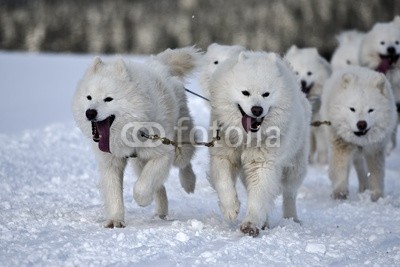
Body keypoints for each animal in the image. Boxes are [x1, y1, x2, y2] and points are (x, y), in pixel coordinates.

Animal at [71, 47, 199, 227]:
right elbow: (114, 194)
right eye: (89, 97)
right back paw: (161, 212)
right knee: (160, 186)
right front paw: (115, 221)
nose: (90, 113)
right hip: (139, 162)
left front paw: (142, 200)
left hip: (177, 147)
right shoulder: (111, 163)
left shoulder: (162, 153)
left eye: (108, 99)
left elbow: (142, 186)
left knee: (184, 161)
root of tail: (160, 64)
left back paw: (189, 183)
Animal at [208, 51, 314, 238]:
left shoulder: (262, 164)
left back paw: (291, 219)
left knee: (289, 193)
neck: (246, 138)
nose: (257, 109)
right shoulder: (223, 154)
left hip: (295, 165)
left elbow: (259, 196)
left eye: (266, 94)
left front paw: (250, 225)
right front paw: (231, 208)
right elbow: (223, 182)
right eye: (245, 93)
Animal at [320, 66, 396, 202]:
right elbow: (340, 171)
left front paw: (376, 195)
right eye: (352, 109)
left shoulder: (375, 150)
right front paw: (340, 192)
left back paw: (364, 187)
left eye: (371, 110)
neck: (360, 141)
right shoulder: (341, 146)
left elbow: (376, 174)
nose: (361, 124)